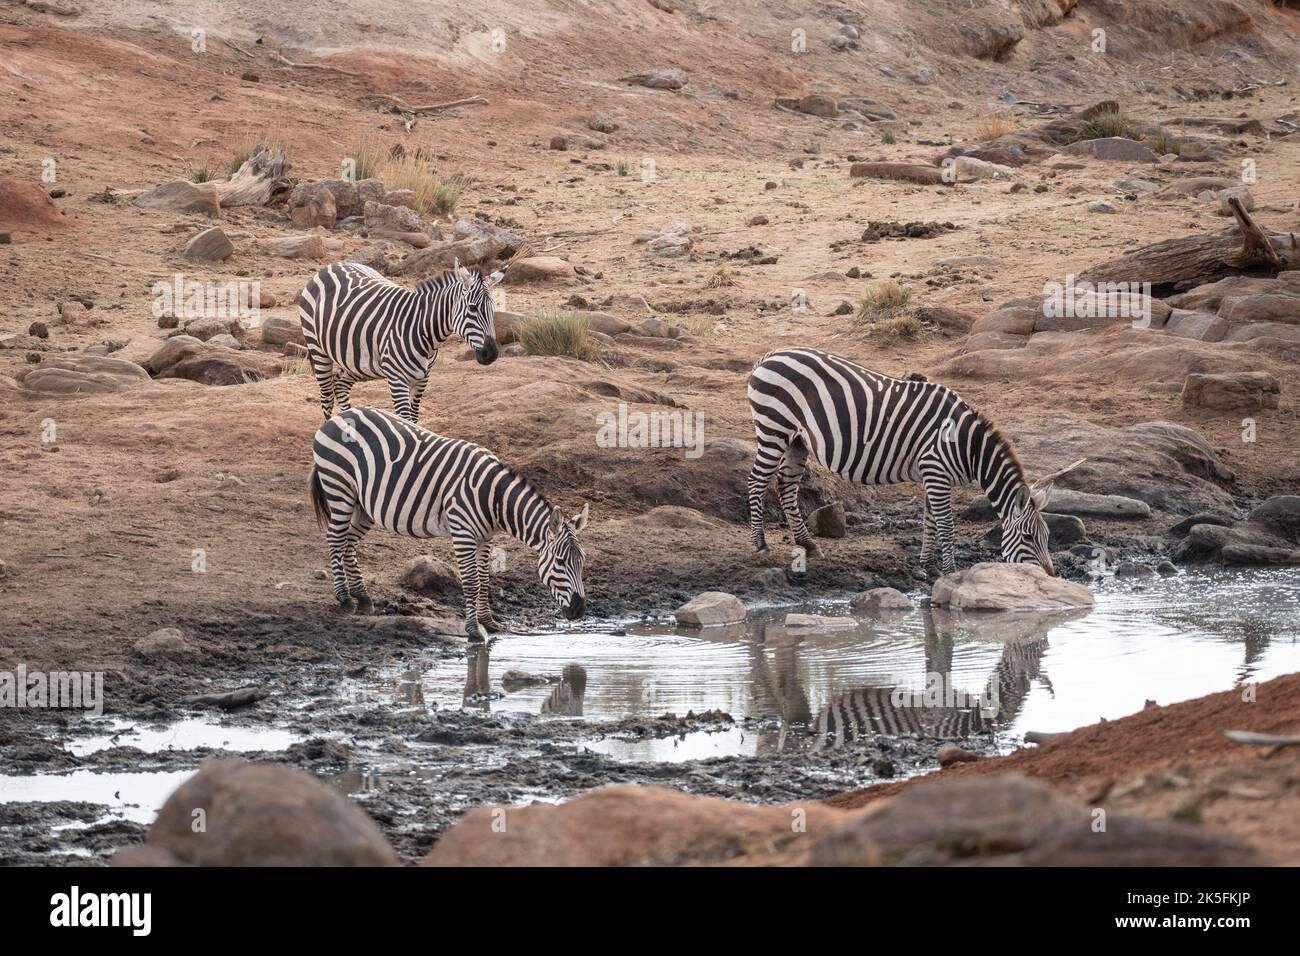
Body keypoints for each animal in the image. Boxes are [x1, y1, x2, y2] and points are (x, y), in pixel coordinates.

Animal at [296, 260, 505, 424]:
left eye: (493, 309)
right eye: (472, 308)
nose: (492, 354)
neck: (422, 330)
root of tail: (331, 266)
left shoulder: (422, 378)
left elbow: (414, 418)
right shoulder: (397, 379)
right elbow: (405, 420)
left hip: (358, 360)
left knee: (340, 384)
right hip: (318, 349)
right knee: (326, 396)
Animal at [309, 406, 588, 641]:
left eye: (582, 561)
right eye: (560, 562)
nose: (579, 610)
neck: (494, 497)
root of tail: (338, 416)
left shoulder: (486, 536)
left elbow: (484, 579)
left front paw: (490, 622)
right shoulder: (463, 532)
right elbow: (472, 581)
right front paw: (474, 630)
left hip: (363, 505)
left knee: (348, 543)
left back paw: (363, 598)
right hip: (340, 488)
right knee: (335, 540)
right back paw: (345, 599)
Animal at [747, 347, 1078, 576]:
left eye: (1048, 537)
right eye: (1028, 537)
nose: (1050, 576)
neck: (967, 446)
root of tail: (769, 355)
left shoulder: (933, 476)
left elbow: (930, 521)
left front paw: (927, 565)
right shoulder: (936, 471)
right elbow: (946, 525)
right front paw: (949, 570)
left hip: (797, 441)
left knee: (786, 487)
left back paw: (808, 545)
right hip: (774, 429)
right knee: (756, 481)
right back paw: (760, 544)